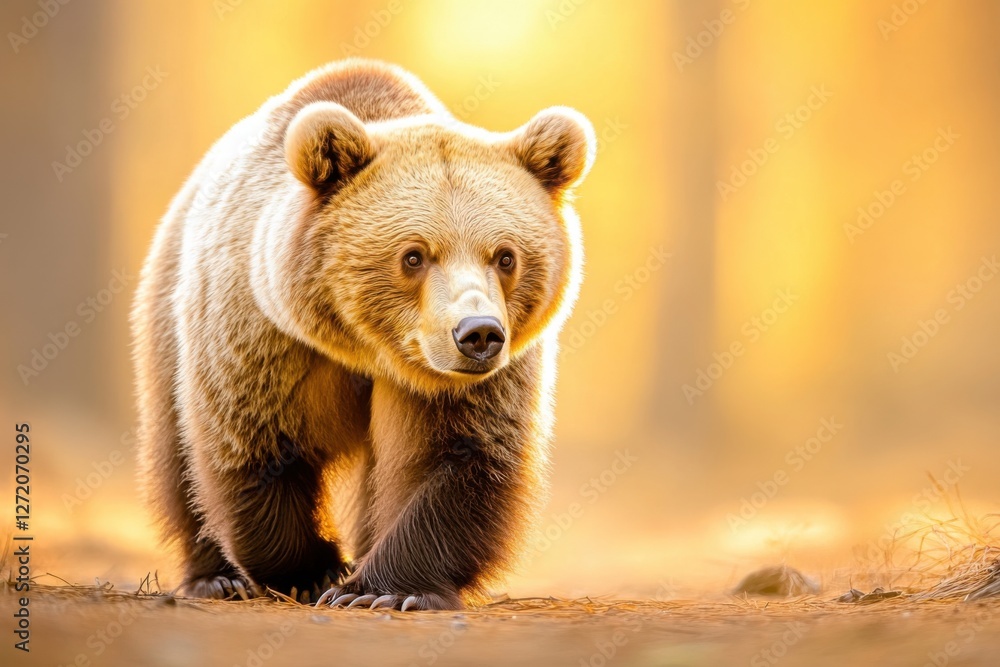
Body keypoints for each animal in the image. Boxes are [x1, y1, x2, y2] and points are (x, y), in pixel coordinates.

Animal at [132, 58, 595, 610]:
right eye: (413, 255)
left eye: (506, 256)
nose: (478, 334)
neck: (368, 349)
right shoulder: (266, 333)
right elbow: (255, 444)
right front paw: (318, 571)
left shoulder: (467, 381)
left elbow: (459, 454)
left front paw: (383, 590)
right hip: (167, 307)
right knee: (175, 450)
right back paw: (217, 578)